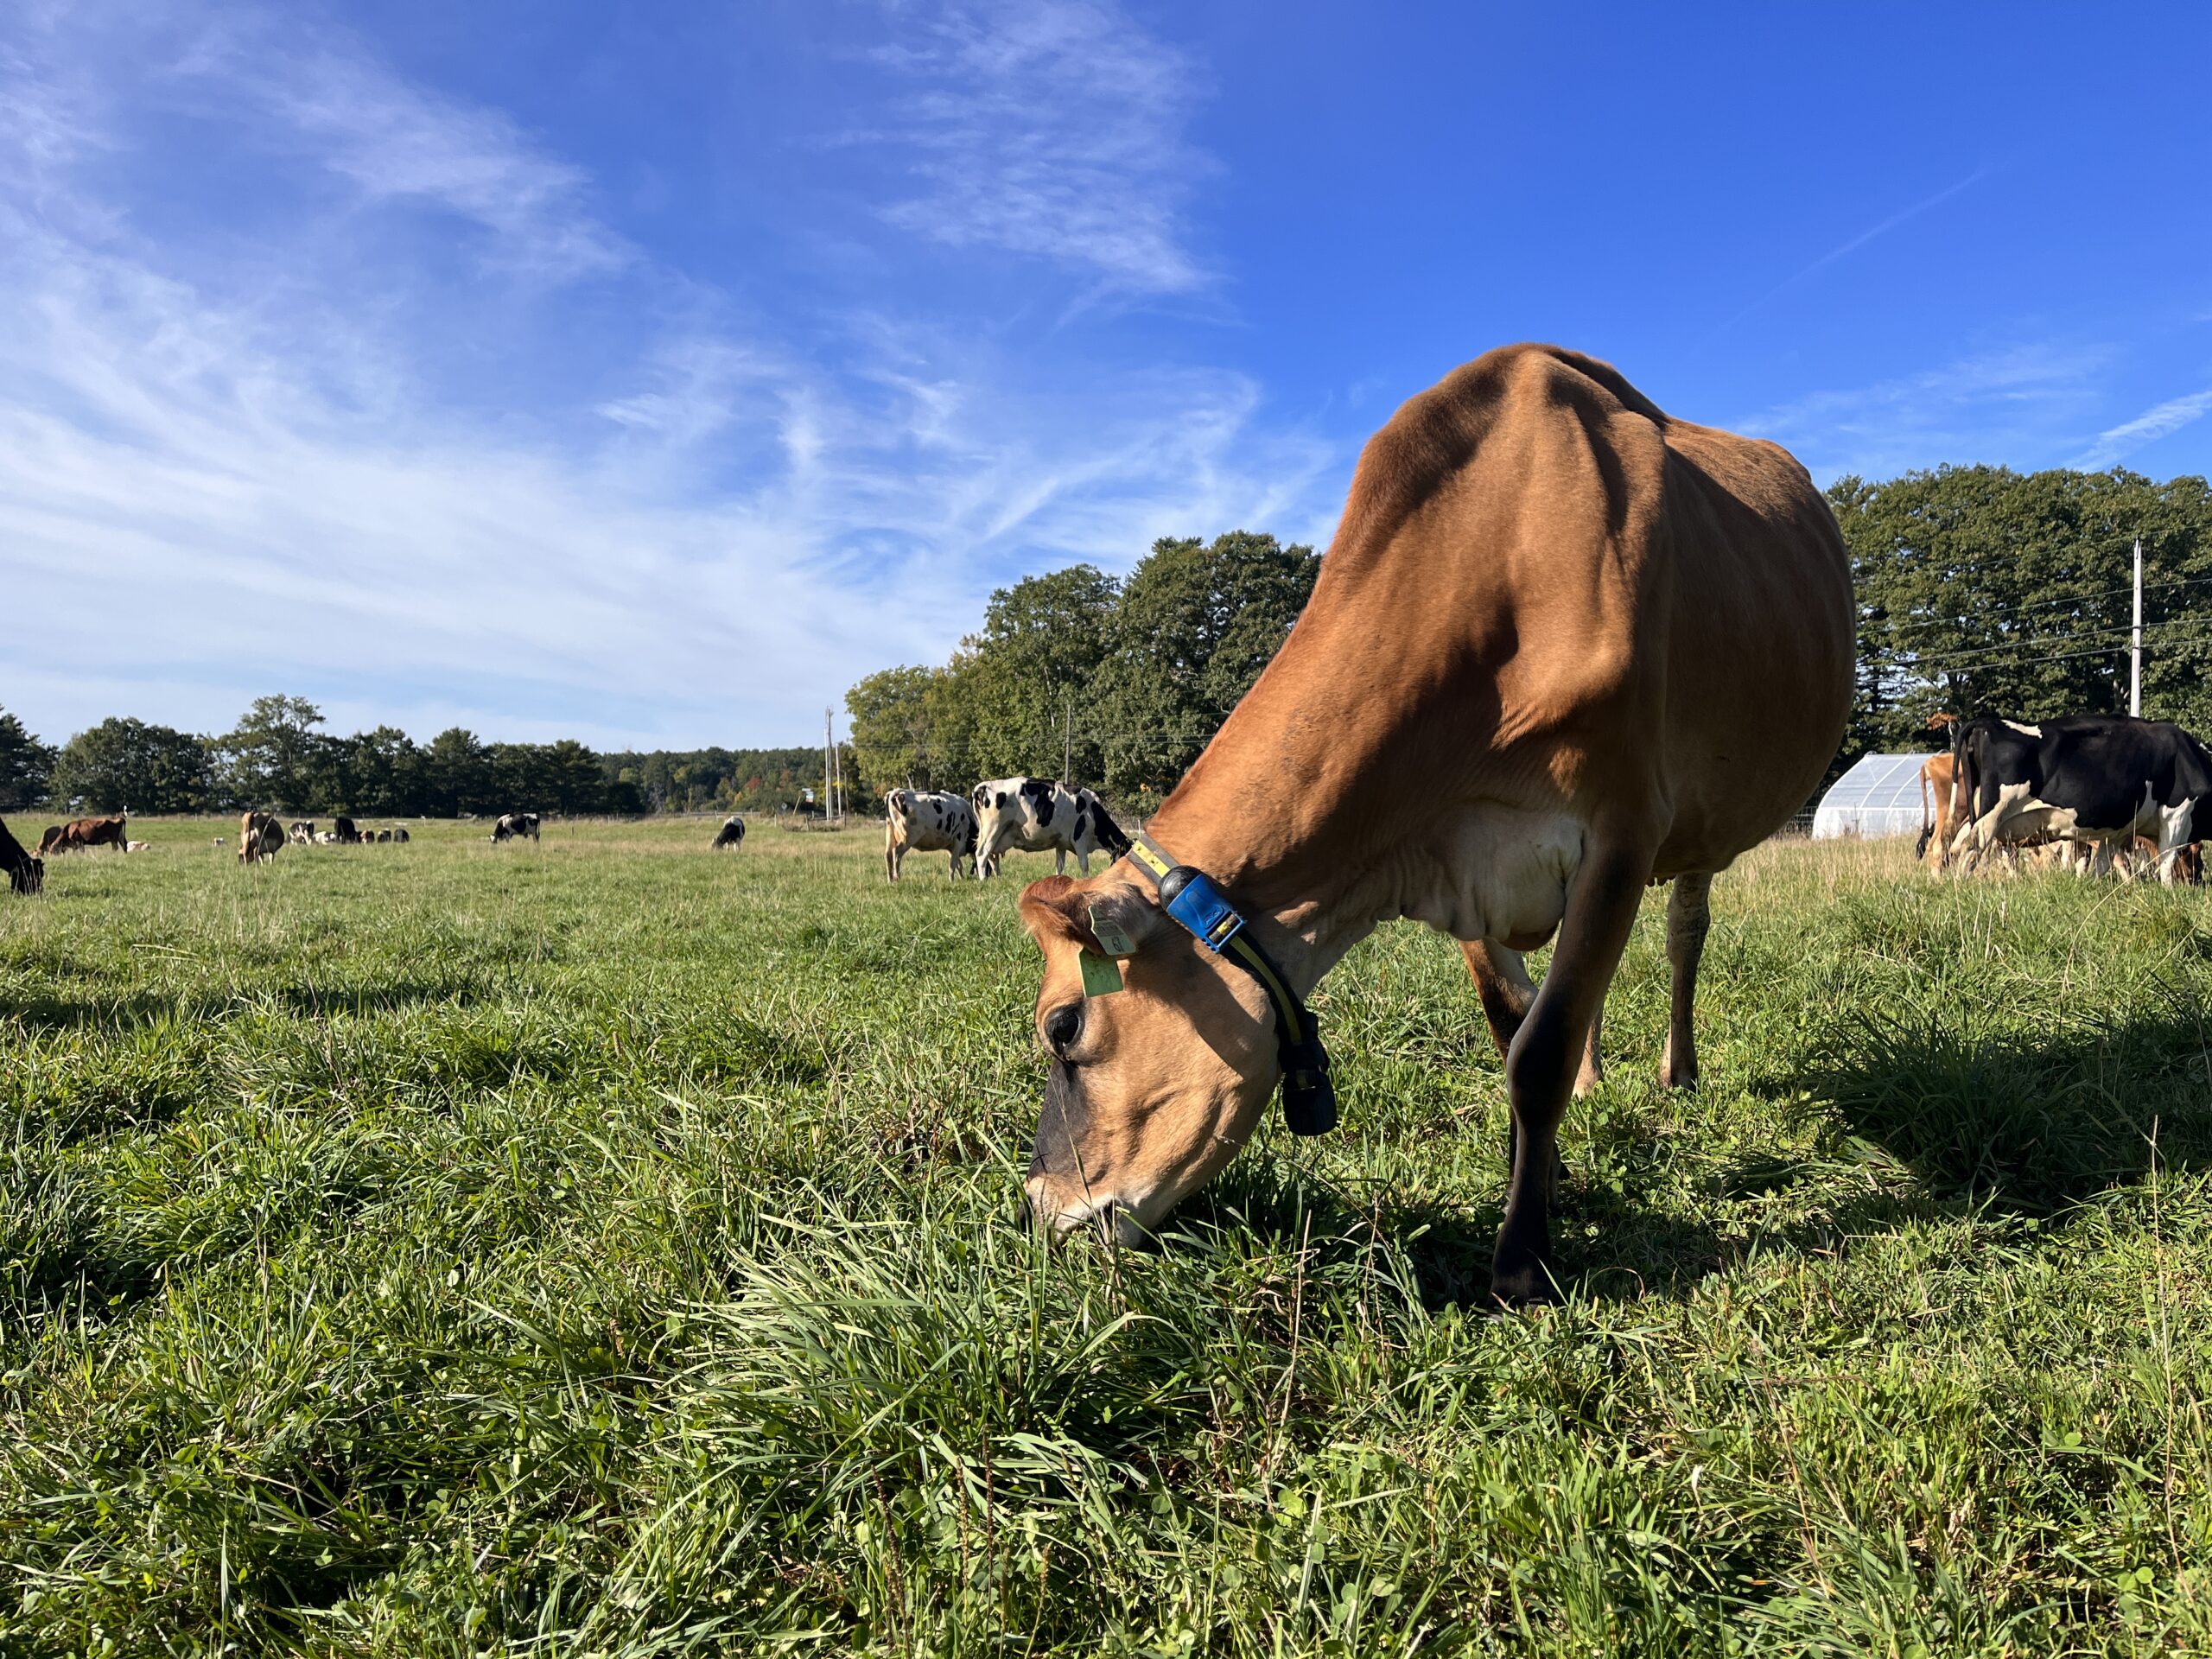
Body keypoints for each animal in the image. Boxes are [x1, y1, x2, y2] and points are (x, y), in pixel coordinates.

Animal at [971, 778, 1128, 879]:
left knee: (992, 857)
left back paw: (998, 879)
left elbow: (1060, 867)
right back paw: (983, 880)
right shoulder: (1080, 840)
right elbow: (1084, 866)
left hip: (997, 834)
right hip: (993, 828)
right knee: (982, 854)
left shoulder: (1061, 844)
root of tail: (983, 786)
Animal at [1011, 345, 1854, 1306]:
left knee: (1683, 934)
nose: (1039, 1209)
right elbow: (1514, 1026)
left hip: (1696, 827)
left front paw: (1522, 1261)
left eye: (1063, 1027)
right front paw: (1550, 1173)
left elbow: (1539, 1051)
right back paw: (1599, 1079)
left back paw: (1678, 1070)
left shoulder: (1622, 828)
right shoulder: (1455, 858)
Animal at [1947, 714, 2212, 884]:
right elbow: (2167, 861)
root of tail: (1988, 722)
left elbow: (2102, 864)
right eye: (2196, 854)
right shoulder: (2177, 813)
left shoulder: (2120, 830)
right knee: (1969, 849)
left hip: (1978, 817)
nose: (2196, 879)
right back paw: (1960, 887)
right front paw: (2169, 892)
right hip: (1991, 815)